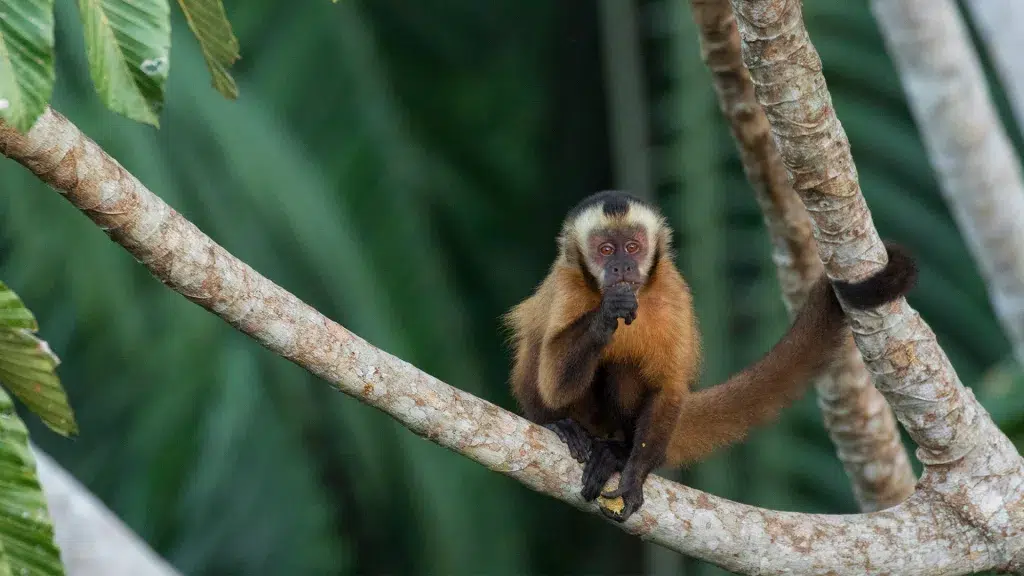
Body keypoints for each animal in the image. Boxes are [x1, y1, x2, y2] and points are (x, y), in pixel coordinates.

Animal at [502, 190, 917, 523]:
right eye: (606, 250)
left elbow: (668, 387)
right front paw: (607, 313)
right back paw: (560, 425)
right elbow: (554, 381)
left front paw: (633, 476)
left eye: (632, 247)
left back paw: (617, 452)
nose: (621, 267)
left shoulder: (672, 291)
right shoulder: (568, 286)